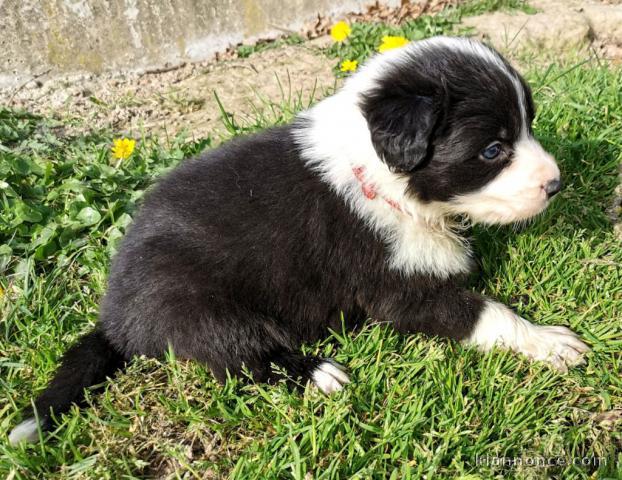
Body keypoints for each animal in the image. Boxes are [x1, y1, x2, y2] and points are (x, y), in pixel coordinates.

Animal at [12, 35, 592, 444]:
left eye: (529, 124)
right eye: (493, 150)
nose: (556, 184)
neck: (378, 173)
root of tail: (114, 318)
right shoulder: (393, 288)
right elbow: (484, 312)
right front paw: (549, 341)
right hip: (195, 303)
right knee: (236, 354)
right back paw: (317, 373)